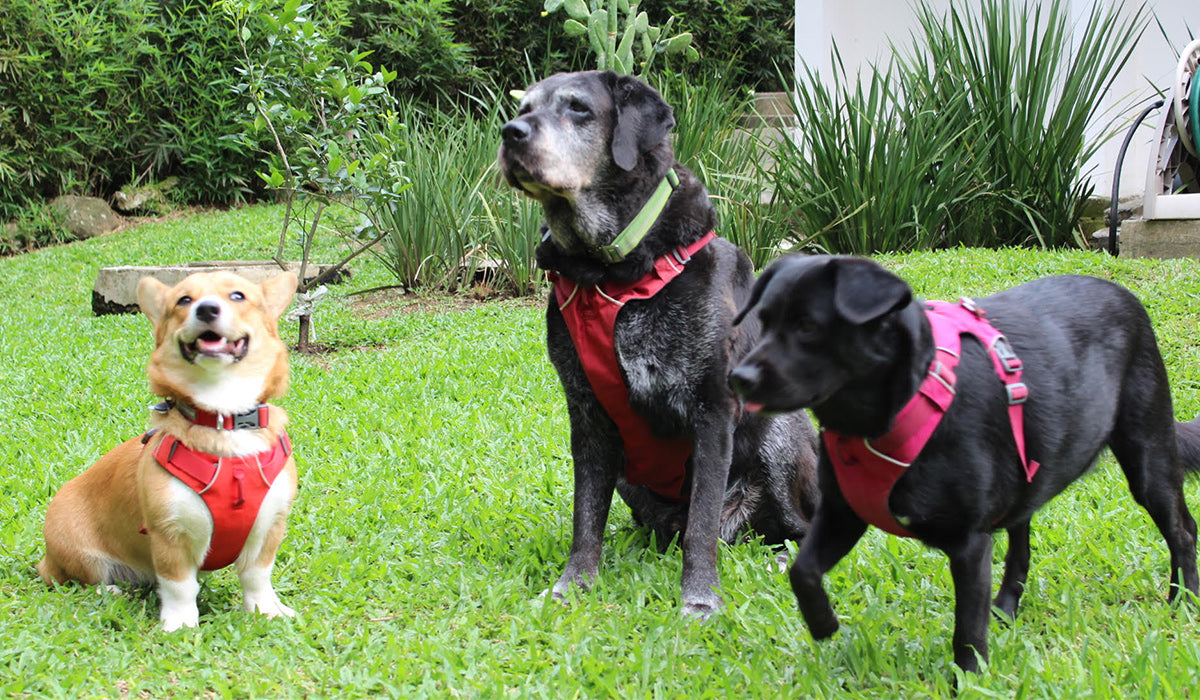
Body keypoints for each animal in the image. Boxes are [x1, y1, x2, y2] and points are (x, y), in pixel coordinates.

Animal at [499, 72, 825, 619]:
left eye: (579, 108)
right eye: (523, 108)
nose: (510, 133)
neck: (608, 273)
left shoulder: (713, 410)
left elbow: (701, 527)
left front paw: (699, 597)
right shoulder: (587, 416)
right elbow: (585, 518)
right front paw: (574, 584)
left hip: (780, 439)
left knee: (793, 529)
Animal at [724, 254, 1195, 672]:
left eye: (807, 326)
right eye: (764, 322)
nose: (738, 379)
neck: (894, 410)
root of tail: (1121, 292)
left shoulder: (969, 543)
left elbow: (967, 629)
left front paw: (969, 679)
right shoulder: (843, 513)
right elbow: (802, 571)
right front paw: (823, 623)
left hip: (1147, 455)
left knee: (1183, 530)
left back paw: (1184, 602)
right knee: (1021, 546)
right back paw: (1005, 608)